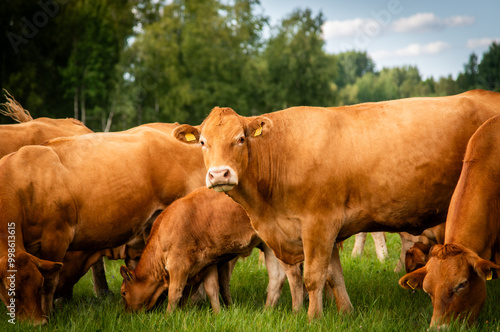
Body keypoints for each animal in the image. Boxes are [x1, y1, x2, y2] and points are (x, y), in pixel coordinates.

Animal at [0, 126, 205, 322]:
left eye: (37, 284)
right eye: (9, 291)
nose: (33, 323)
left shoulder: (56, 236)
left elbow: (50, 281)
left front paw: (49, 316)